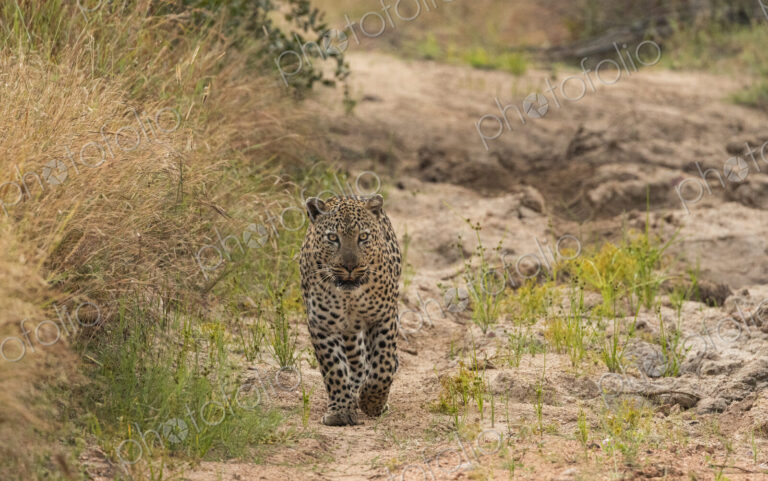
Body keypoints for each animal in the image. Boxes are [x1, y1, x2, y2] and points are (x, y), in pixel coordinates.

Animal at [299, 194, 401, 426]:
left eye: (363, 236)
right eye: (332, 237)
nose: (350, 267)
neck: (349, 297)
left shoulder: (383, 317)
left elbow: (383, 364)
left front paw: (372, 402)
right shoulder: (321, 325)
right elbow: (334, 368)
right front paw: (340, 412)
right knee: (356, 360)